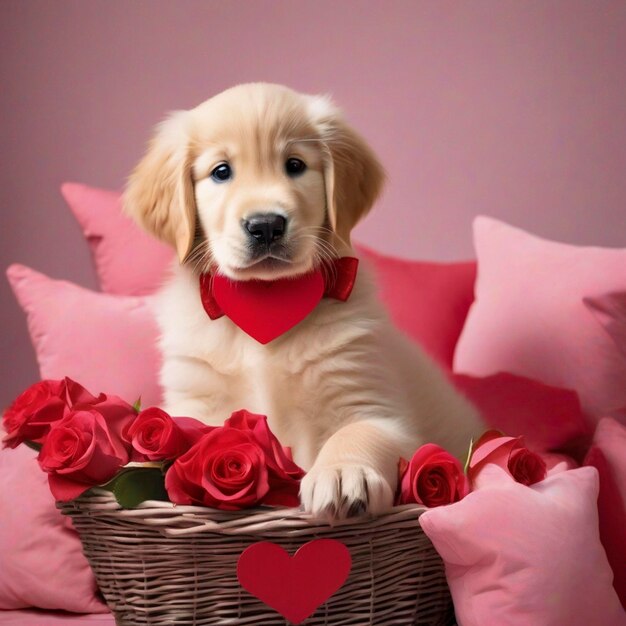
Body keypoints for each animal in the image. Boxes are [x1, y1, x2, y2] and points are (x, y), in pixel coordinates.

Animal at [123, 81, 482, 516]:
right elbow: (169, 439)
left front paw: (343, 472)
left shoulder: (377, 407)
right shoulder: (193, 401)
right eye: (221, 172)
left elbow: (357, 431)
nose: (265, 225)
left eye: (294, 165)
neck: (267, 298)